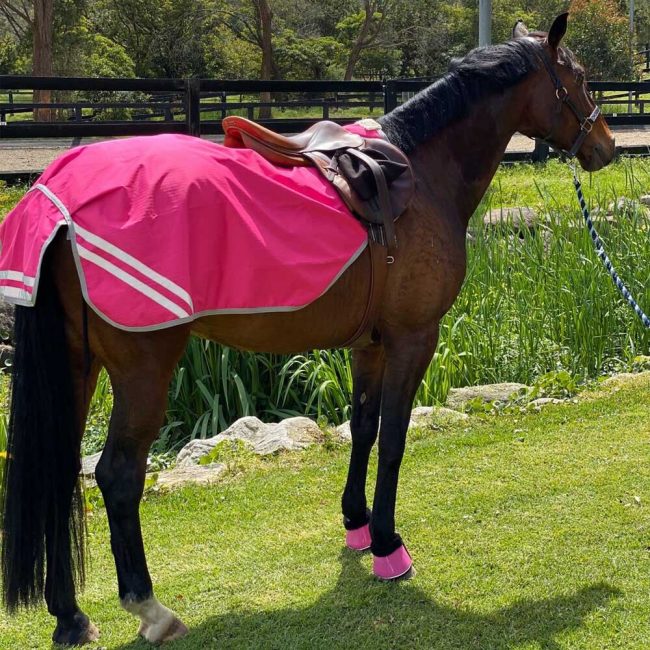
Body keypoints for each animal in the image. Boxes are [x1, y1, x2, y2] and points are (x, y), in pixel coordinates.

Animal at [1, 13, 615, 646]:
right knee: (117, 475)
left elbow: (364, 429)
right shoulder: (414, 338)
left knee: (59, 474)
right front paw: (389, 547)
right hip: (143, 368)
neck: (421, 175)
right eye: (579, 76)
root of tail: (58, 199)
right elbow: (394, 438)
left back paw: (70, 615)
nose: (606, 146)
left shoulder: (370, 345)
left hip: (78, 365)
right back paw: (150, 609)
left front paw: (357, 523)